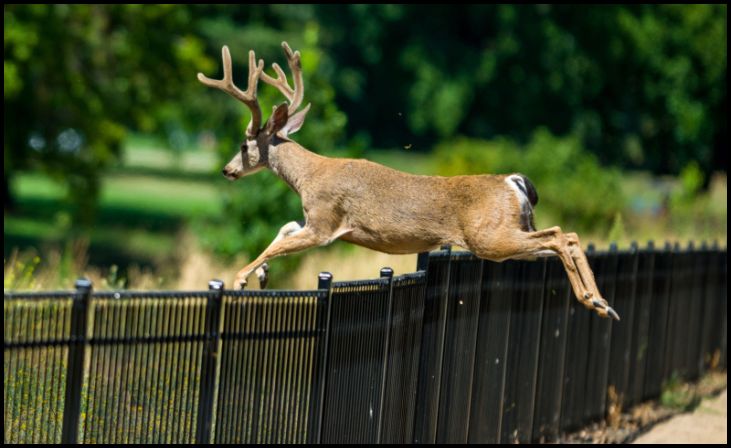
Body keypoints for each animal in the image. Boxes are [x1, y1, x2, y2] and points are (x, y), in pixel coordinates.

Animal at [202, 40, 624, 320]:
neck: (308, 176)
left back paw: (596, 302)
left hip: (490, 236)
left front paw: (240, 279)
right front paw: (261, 275)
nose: (226, 170)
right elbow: (284, 228)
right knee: (564, 238)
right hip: (512, 233)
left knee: (561, 235)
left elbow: (281, 241)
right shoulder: (315, 221)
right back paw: (601, 302)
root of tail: (515, 181)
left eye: (243, 143)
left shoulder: (325, 222)